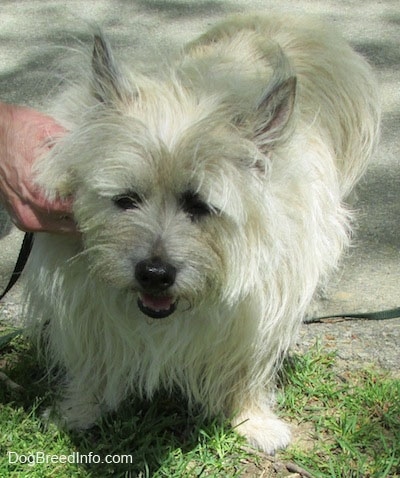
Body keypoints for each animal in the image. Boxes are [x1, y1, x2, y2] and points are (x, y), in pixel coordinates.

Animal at [23, 13, 380, 454]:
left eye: (200, 205)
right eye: (125, 200)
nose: (154, 274)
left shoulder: (261, 308)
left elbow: (247, 365)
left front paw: (252, 418)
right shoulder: (84, 299)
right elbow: (93, 354)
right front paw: (82, 407)